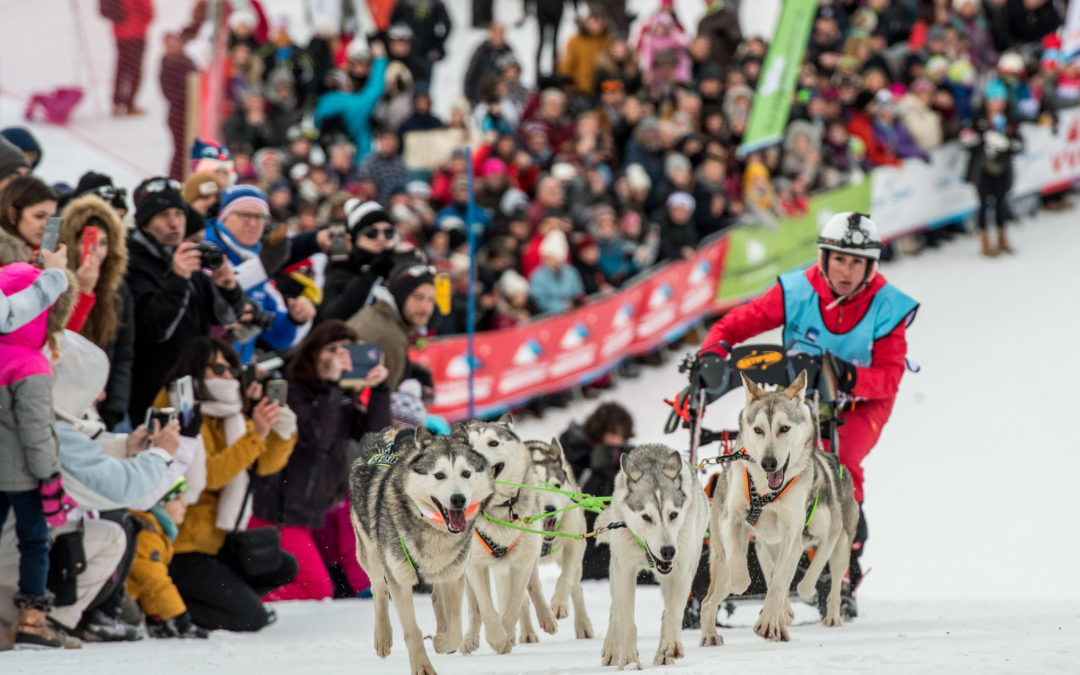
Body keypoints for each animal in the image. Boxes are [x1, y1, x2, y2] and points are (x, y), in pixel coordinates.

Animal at [349, 425, 494, 673]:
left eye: (466, 473)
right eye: (439, 475)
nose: (458, 499)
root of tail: (388, 434)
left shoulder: (454, 575)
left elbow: (455, 629)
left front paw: (441, 641)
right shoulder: (399, 579)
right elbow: (412, 632)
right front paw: (422, 667)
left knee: (437, 596)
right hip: (371, 554)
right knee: (378, 589)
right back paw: (383, 637)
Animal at [462, 416, 557, 652]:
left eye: (493, 443)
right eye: (468, 445)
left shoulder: (522, 563)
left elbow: (514, 605)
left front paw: (506, 634)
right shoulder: (475, 565)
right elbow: (486, 606)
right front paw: (497, 638)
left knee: (533, 586)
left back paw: (546, 617)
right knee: (474, 607)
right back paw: (470, 638)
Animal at [518, 440, 596, 639]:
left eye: (556, 485)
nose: (549, 508)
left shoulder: (575, 543)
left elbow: (565, 577)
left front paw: (559, 604)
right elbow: (533, 587)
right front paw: (546, 617)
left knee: (576, 586)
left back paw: (583, 624)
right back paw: (527, 633)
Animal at [600, 442, 708, 669]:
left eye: (673, 514)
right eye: (646, 517)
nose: (668, 551)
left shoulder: (681, 571)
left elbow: (674, 612)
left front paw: (671, 646)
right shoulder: (624, 570)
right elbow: (626, 620)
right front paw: (629, 662)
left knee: (667, 612)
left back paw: (664, 654)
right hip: (615, 569)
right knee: (615, 609)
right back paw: (613, 648)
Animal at [699, 371, 859, 643]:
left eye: (784, 428)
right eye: (758, 430)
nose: (768, 463)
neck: (767, 493)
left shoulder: (798, 538)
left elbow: (785, 583)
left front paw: (770, 621)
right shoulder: (733, 521)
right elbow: (741, 564)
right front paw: (741, 581)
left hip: (840, 545)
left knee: (832, 583)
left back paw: (828, 616)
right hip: (734, 552)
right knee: (709, 600)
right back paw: (711, 633)